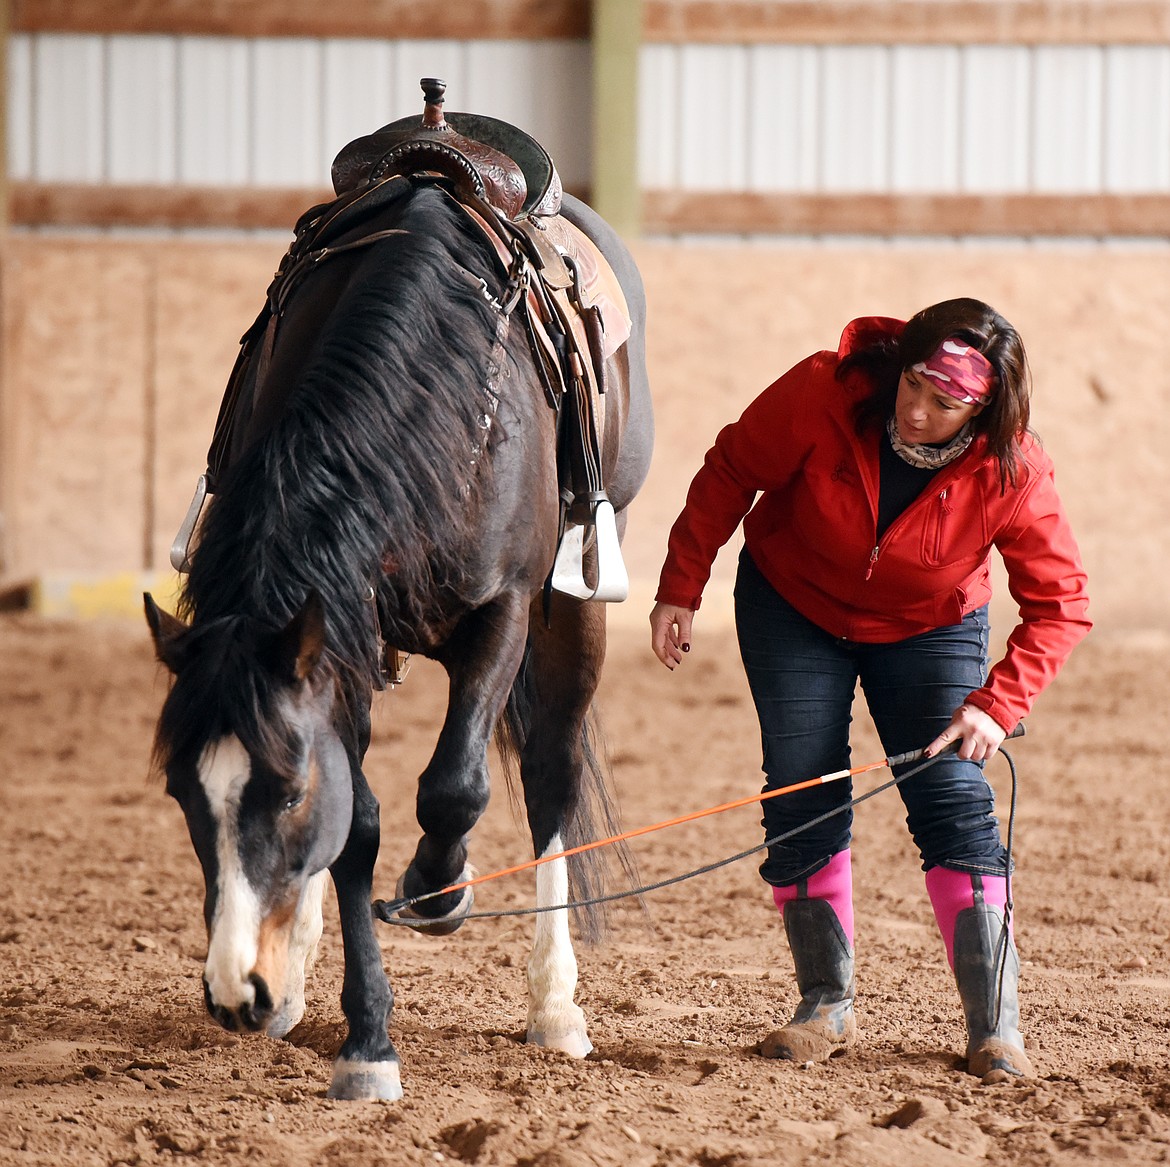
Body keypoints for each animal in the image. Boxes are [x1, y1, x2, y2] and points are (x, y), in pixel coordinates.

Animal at [142, 149, 655, 1095]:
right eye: (181, 792)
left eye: (289, 789)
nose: (234, 992)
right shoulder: (343, 635)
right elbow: (360, 823)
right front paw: (365, 1039)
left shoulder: (506, 609)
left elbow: (455, 785)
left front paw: (438, 891)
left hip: (577, 601)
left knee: (551, 773)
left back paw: (554, 1006)